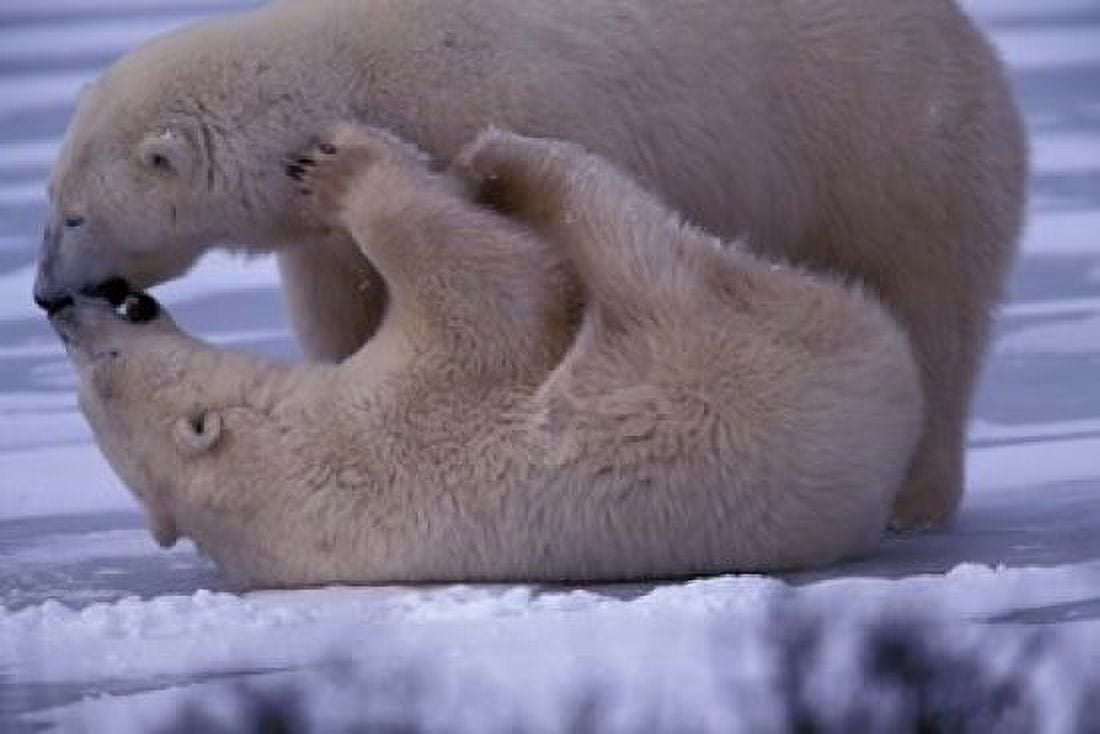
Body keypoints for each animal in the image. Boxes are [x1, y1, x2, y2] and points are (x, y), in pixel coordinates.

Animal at [33, 0, 1027, 529]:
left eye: (74, 212)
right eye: (48, 198)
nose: (44, 294)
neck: (350, 69)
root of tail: (976, 46)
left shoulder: (502, 106)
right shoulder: (321, 236)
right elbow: (344, 299)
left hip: (891, 149)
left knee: (930, 304)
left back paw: (912, 497)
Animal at [50, 125, 923, 587]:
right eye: (100, 376)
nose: (66, 309)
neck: (280, 470)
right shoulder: (411, 413)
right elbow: (499, 288)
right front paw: (344, 170)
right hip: (726, 362)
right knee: (631, 240)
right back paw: (508, 159)